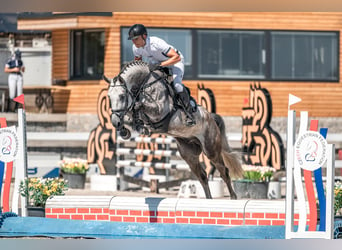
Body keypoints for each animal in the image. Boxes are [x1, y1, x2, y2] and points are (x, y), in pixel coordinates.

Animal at [105, 60, 243, 199]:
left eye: (122, 96)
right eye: (109, 97)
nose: (115, 122)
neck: (144, 84)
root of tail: (212, 118)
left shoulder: (159, 111)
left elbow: (139, 106)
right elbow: (132, 112)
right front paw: (127, 129)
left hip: (211, 150)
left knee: (224, 172)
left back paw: (233, 198)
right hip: (189, 154)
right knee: (202, 176)